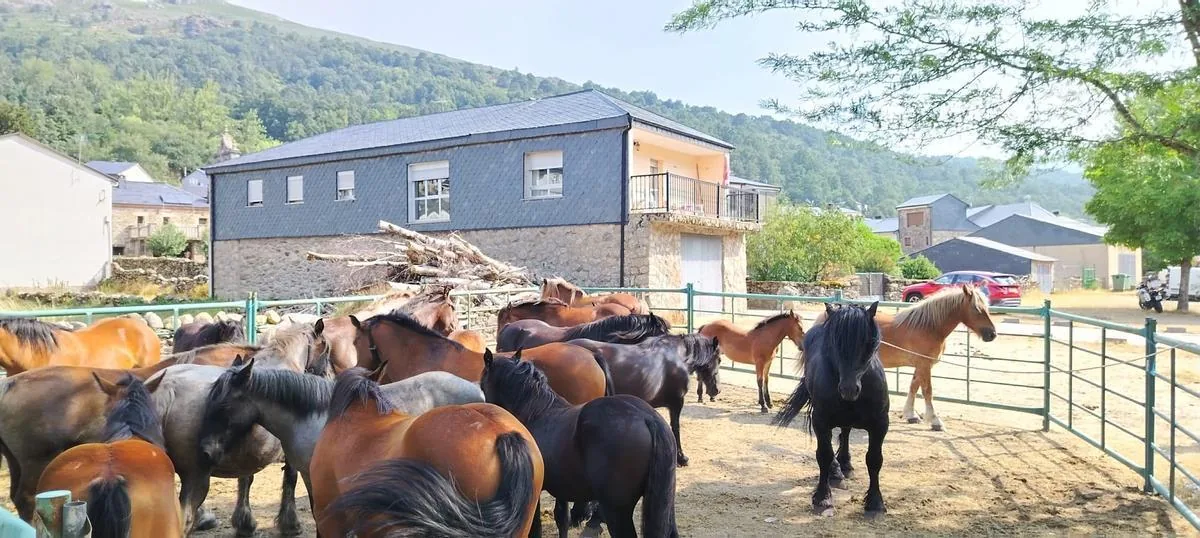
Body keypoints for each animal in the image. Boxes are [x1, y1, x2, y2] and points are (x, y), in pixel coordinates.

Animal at [480, 352, 678, 538]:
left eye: (483, 384)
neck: (536, 412)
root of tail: (647, 417)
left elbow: (536, 529)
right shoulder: (560, 488)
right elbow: (562, 518)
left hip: (617, 510)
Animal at [570, 334, 721, 467]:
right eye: (718, 360)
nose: (717, 390)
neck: (679, 357)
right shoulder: (677, 402)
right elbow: (675, 428)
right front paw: (681, 458)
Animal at [775, 302, 889, 518]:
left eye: (868, 342)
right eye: (835, 343)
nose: (848, 389)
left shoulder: (880, 424)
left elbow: (874, 459)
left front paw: (875, 501)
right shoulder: (820, 421)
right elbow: (824, 456)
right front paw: (822, 497)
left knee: (845, 431)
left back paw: (845, 463)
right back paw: (837, 471)